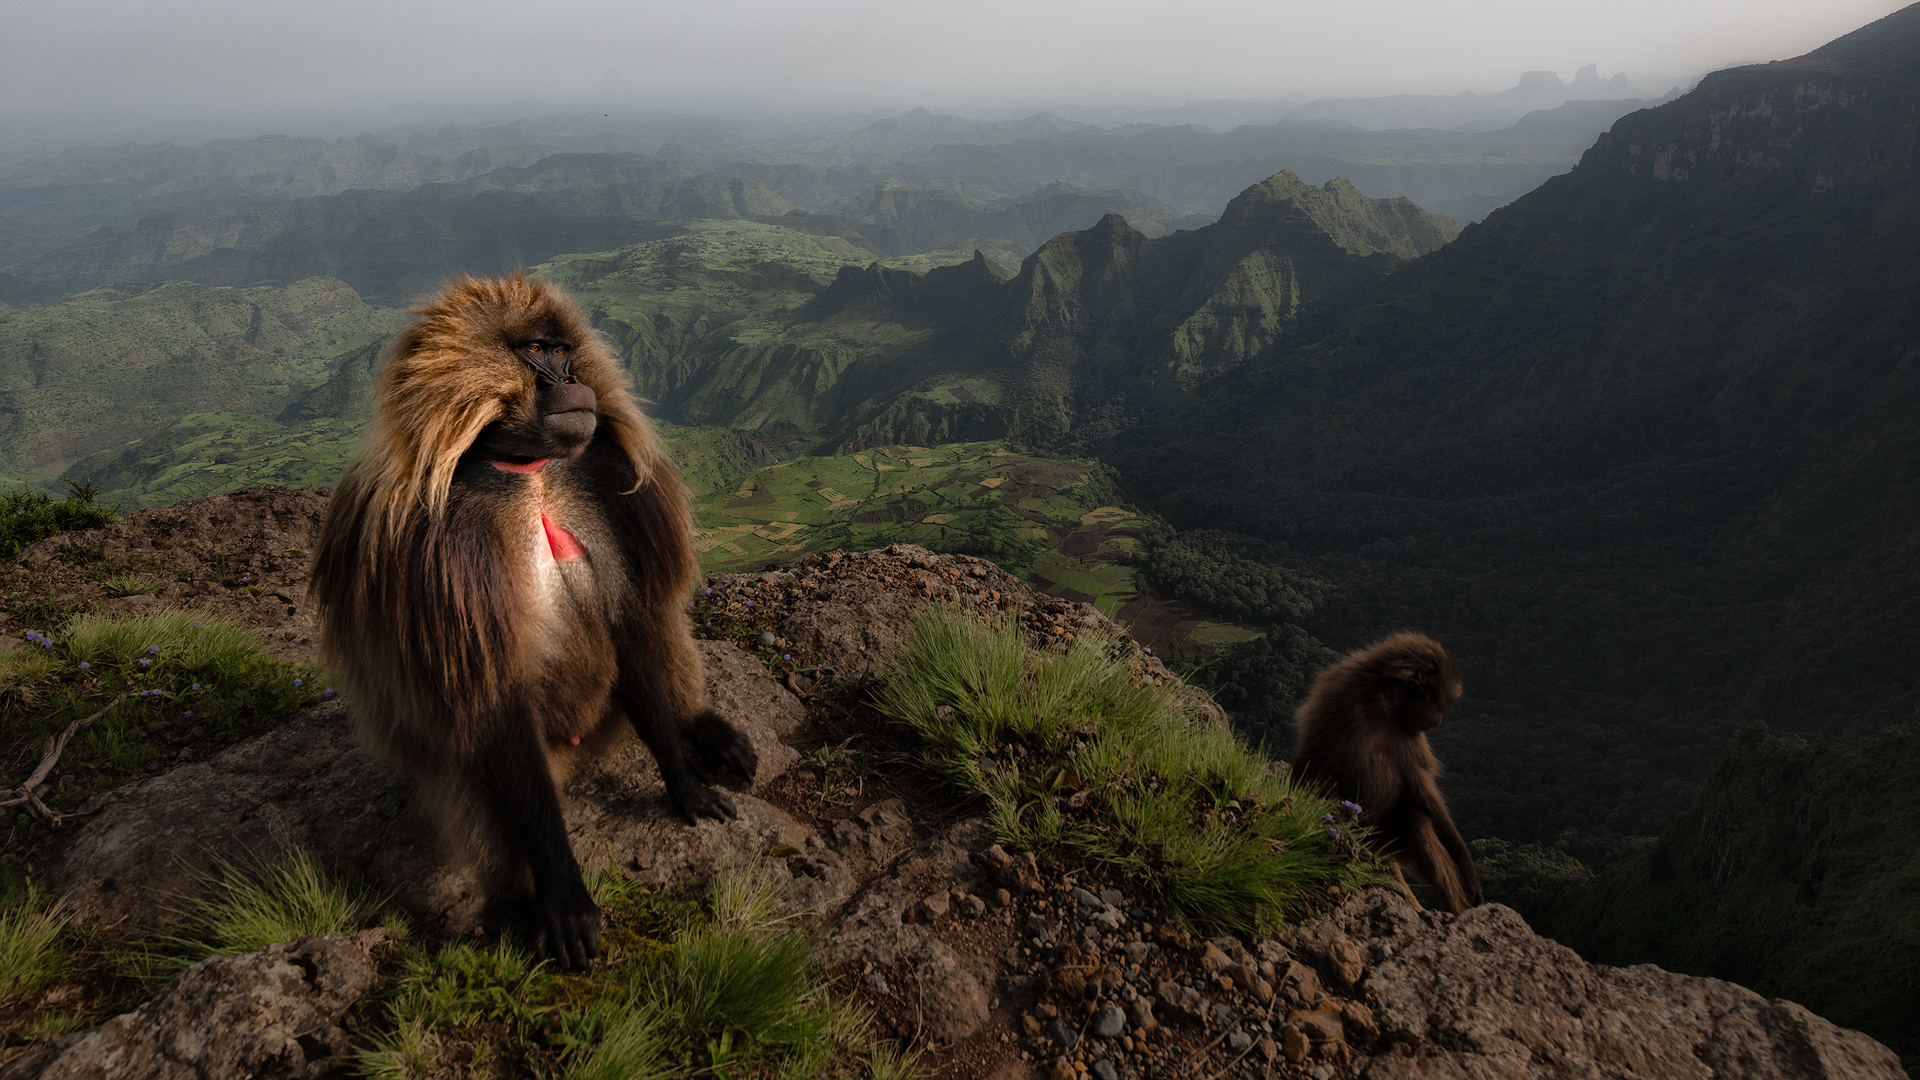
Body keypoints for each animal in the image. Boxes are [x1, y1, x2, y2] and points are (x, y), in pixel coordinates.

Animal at [310, 273, 757, 969]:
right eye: (537, 352)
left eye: (564, 351)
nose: (572, 381)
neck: (530, 473)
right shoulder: (431, 549)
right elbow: (490, 696)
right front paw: (565, 899)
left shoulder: (604, 479)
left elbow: (629, 627)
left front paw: (684, 781)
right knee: (472, 768)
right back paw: (511, 903)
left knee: (659, 629)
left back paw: (702, 729)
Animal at [1290, 631, 1482, 914]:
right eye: (1440, 702)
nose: (1438, 721)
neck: (1385, 704)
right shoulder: (1337, 696)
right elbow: (1316, 761)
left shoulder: (1411, 732)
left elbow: (1420, 791)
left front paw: (1466, 865)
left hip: (1385, 843)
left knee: (1414, 820)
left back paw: (1458, 910)